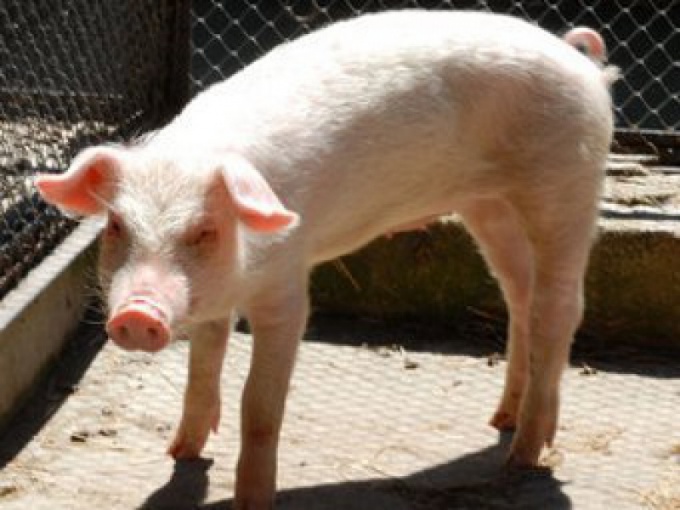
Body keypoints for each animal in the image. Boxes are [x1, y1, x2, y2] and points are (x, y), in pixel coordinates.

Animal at [34, 9, 612, 508]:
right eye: (116, 226)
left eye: (205, 230)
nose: (137, 315)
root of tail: (580, 62)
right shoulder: (216, 298)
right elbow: (205, 361)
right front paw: (181, 451)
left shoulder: (288, 286)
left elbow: (259, 405)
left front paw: (252, 501)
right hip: (488, 205)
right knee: (520, 296)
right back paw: (502, 421)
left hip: (565, 184)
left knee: (561, 308)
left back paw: (522, 457)